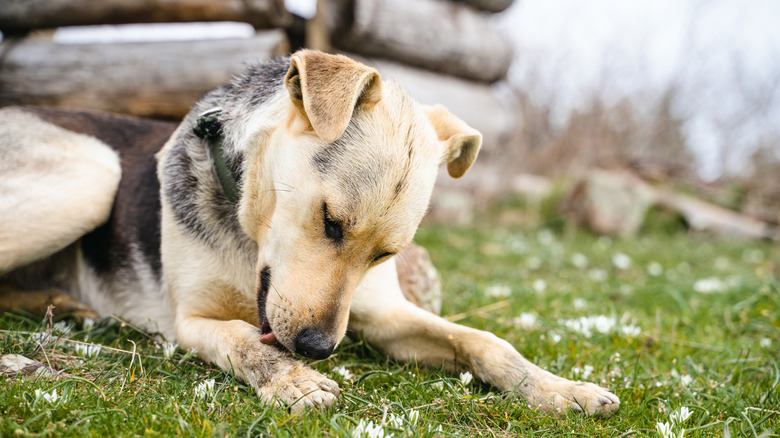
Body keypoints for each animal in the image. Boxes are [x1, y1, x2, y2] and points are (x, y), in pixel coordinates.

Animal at [1, 50, 620, 414]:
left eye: (385, 254)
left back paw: (64, 304)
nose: (318, 350)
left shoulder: (384, 314)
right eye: (330, 221)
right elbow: (241, 337)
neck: (249, 235)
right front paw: (291, 380)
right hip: (92, 173)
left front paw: (558, 388)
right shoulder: (188, 320)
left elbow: (484, 341)